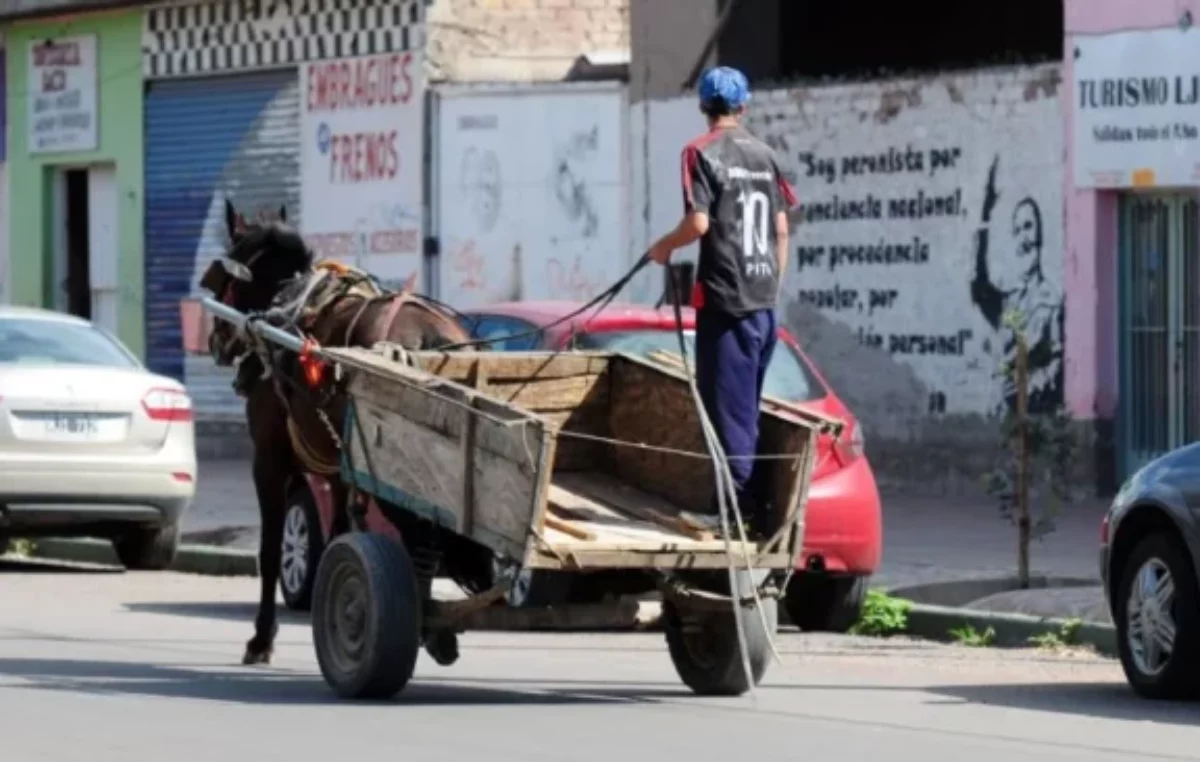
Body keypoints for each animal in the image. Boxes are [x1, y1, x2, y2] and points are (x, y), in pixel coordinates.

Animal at [200, 199, 472, 667]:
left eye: (224, 279)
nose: (217, 341)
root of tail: (428, 336)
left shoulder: (269, 460)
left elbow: (270, 550)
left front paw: (262, 638)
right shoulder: (336, 467)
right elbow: (339, 531)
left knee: (421, 537)